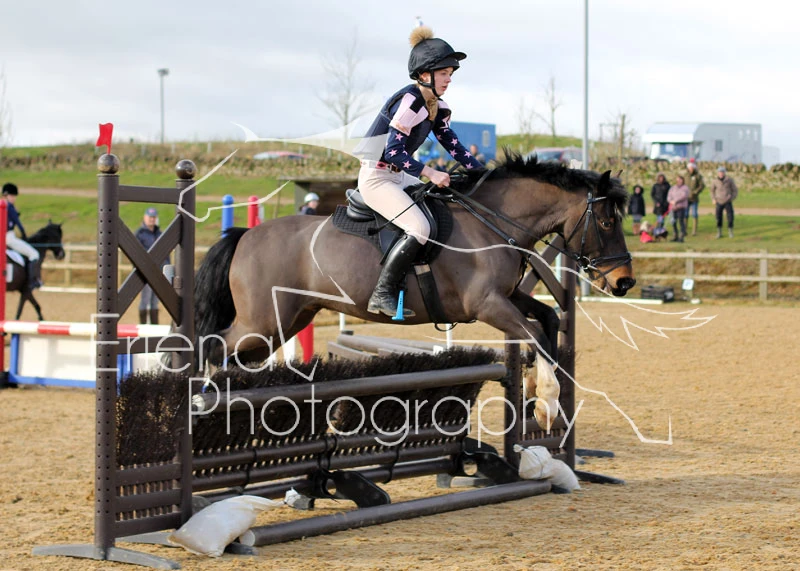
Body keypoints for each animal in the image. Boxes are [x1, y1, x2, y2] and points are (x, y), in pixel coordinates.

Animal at [194, 153, 636, 370]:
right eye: (607, 221)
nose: (625, 282)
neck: (491, 221)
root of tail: (245, 235)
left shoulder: (507, 297)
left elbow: (547, 321)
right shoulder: (488, 305)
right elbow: (536, 336)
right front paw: (547, 395)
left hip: (290, 319)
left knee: (238, 357)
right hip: (262, 321)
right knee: (212, 347)